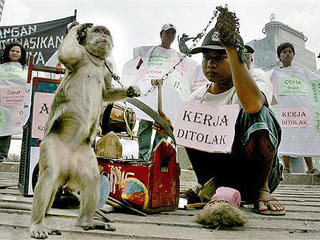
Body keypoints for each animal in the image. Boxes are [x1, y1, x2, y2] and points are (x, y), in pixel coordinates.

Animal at [30, 22, 140, 238]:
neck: (95, 61)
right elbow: (67, 55)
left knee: (91, 178)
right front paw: (77, 27)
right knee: (48, 176)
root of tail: (67, 170)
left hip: (84, 154)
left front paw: (132, 91)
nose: (104, 35)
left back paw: (86, 221)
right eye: (98, 31)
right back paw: (38, 223)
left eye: (106, 33)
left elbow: (106, 92)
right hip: (51, 145)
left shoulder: (106, 70)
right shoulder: (80, 56)